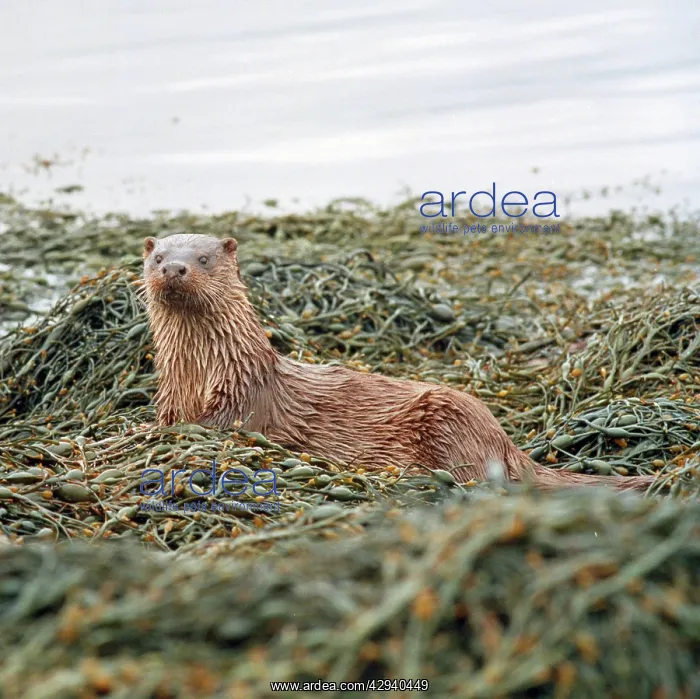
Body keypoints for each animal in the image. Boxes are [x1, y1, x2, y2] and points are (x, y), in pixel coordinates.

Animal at [143, 233, 657, 492]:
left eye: (203, 258)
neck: (204, 372)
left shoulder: (241, 405)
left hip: (450, 418)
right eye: (158, 256)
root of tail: (506, 441)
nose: (174, 268)